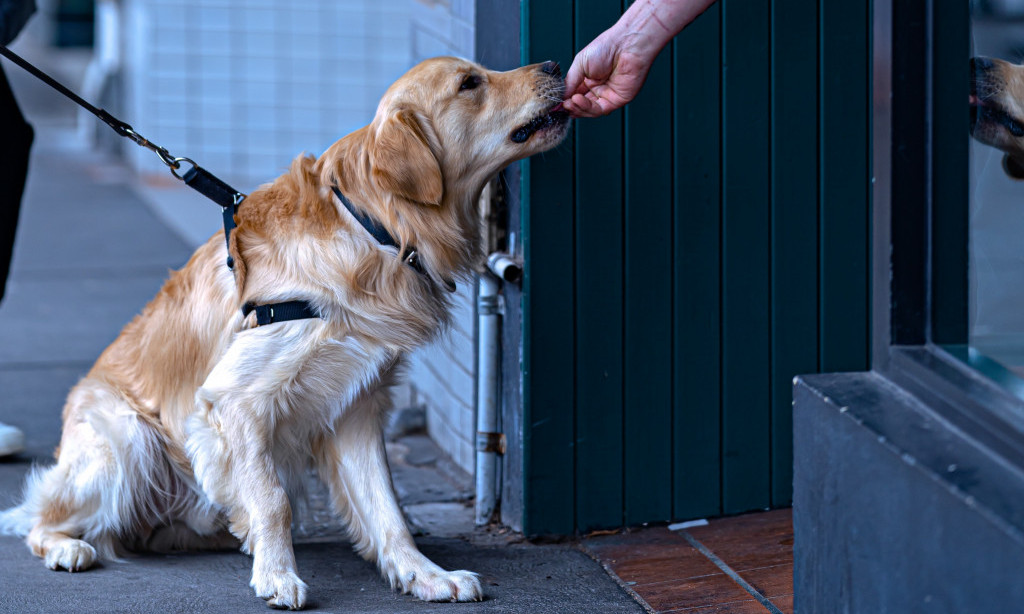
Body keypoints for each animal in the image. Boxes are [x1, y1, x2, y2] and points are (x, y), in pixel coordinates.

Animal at [0, 57, 569, 609]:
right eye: (469, 83)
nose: (555, 65)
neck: (372, 228)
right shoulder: (234, 401)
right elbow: (273, 501)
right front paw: (277, 574)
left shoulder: (357, 404)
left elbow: (387, 508)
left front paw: (424, 575)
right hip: (127, 437)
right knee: (40, 520)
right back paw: (68, 547)